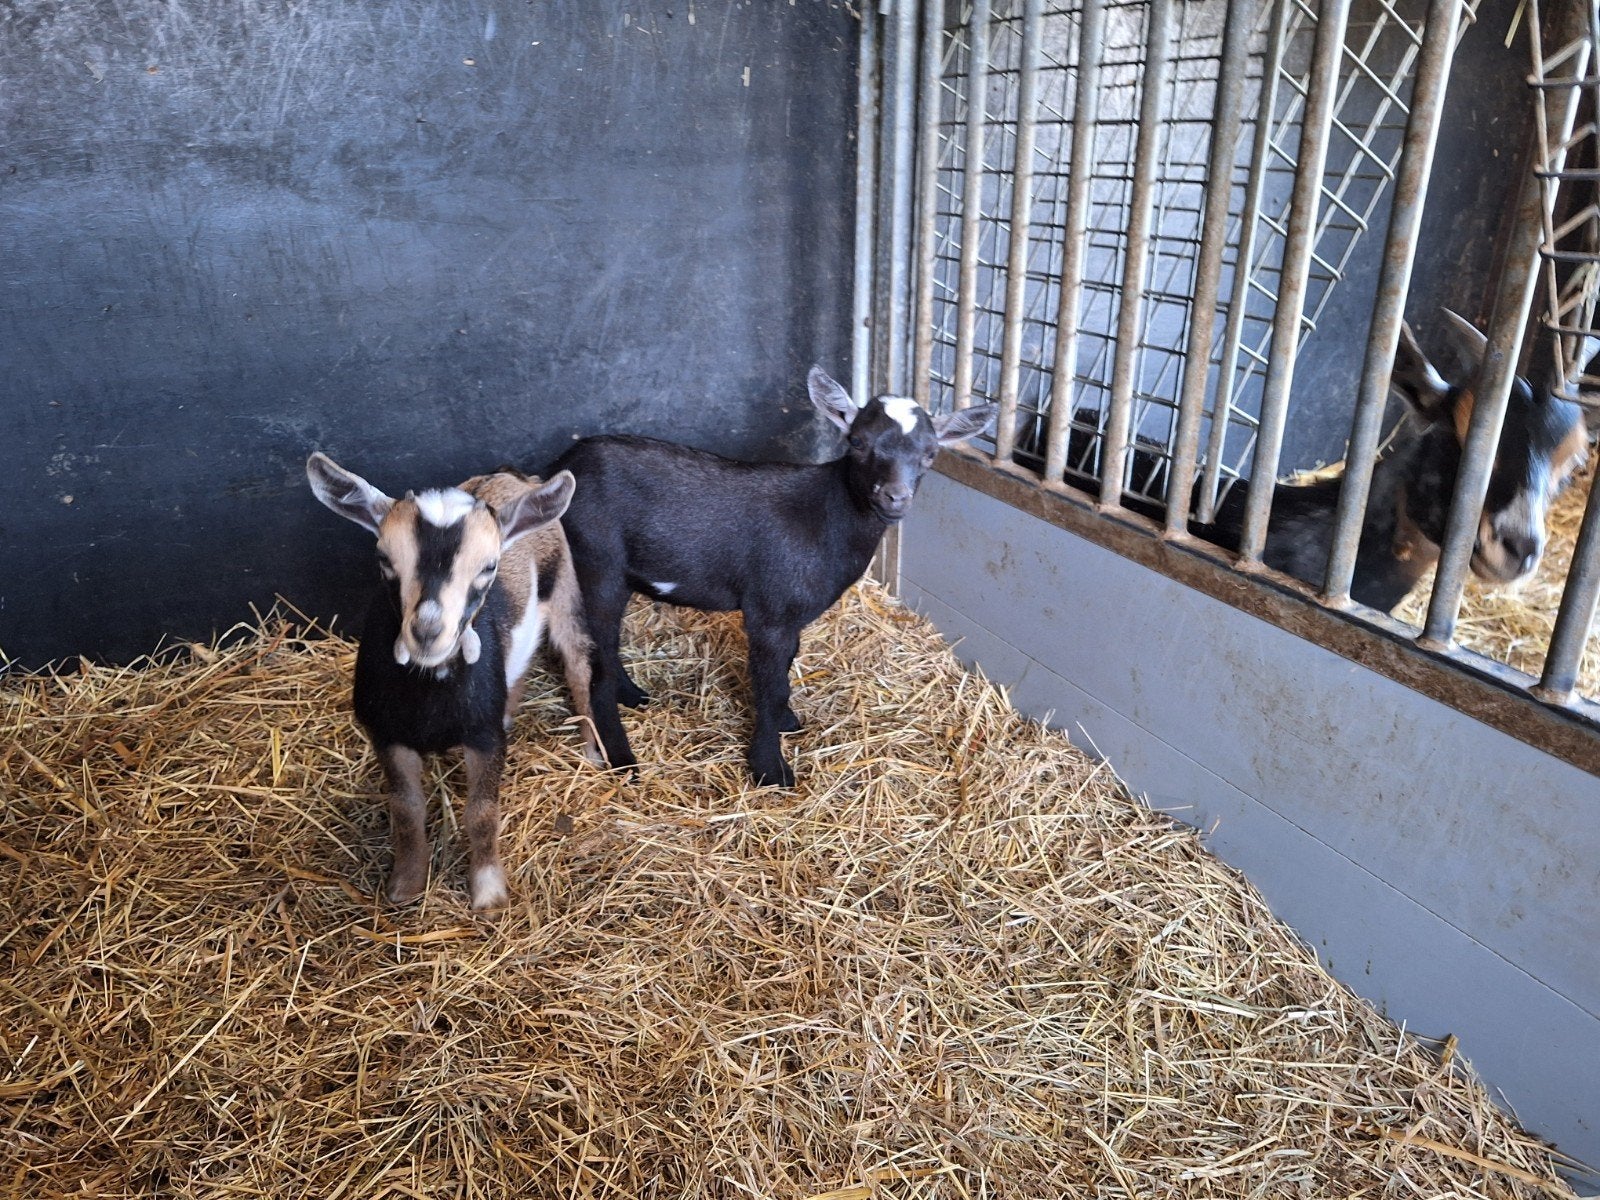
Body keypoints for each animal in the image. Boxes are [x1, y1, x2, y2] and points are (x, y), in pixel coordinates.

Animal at [306, 454, 597, 910]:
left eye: (489, 566)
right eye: (384, 559)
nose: (427, 631)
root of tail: (514, 478)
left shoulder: (484, 736)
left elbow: (482, 813)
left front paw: (489, 892)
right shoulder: (387, 734)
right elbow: (407, 809)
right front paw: (406, 883)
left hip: (565, 586)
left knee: (579, 662)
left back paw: (592, 751)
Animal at [550, 367, 999, 788]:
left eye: (930, 453)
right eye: (857, 442)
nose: (895, 496)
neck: (826, 516)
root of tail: (561, 466)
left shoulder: (790, 615)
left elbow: (785, 668)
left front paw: (786, 721)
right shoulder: (769, 612)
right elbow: (770, 685)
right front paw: (770, 769)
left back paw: (633, 696)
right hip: (596, 564)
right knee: (593, 668)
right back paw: (623, 760)